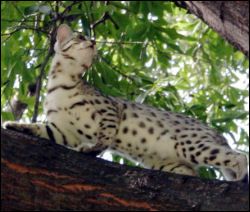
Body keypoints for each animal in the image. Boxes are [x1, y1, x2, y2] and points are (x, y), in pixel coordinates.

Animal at [4, 24, 248, 181]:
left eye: (89, 39)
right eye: (81, 37)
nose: (94, 41)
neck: (61, 83)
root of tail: (216, 132)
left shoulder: (109, 111)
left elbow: (103, 138)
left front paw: (91, 149)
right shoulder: (63, 129)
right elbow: (40, 128)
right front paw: (15, 125)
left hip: (193, 145)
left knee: (239, 156)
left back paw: (239, 180)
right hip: (167, 161)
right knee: (194, 171)